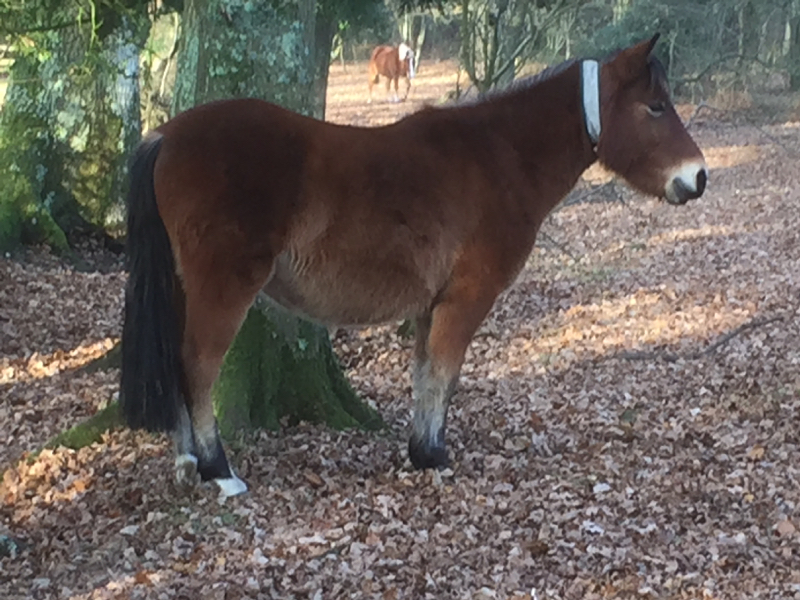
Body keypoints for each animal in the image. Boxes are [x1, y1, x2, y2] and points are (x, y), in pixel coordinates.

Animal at [120, 35, 708, 500]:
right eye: (656, 106)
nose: (698, 177)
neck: (497, 157)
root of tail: (166, 136)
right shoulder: (466, 298)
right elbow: (444, 375)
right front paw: (434, 455)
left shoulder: (431, 305)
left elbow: (425, 372)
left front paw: (419, 449)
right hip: (223, 288)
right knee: (197, 366)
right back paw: (218, 471)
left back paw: (187, 463)